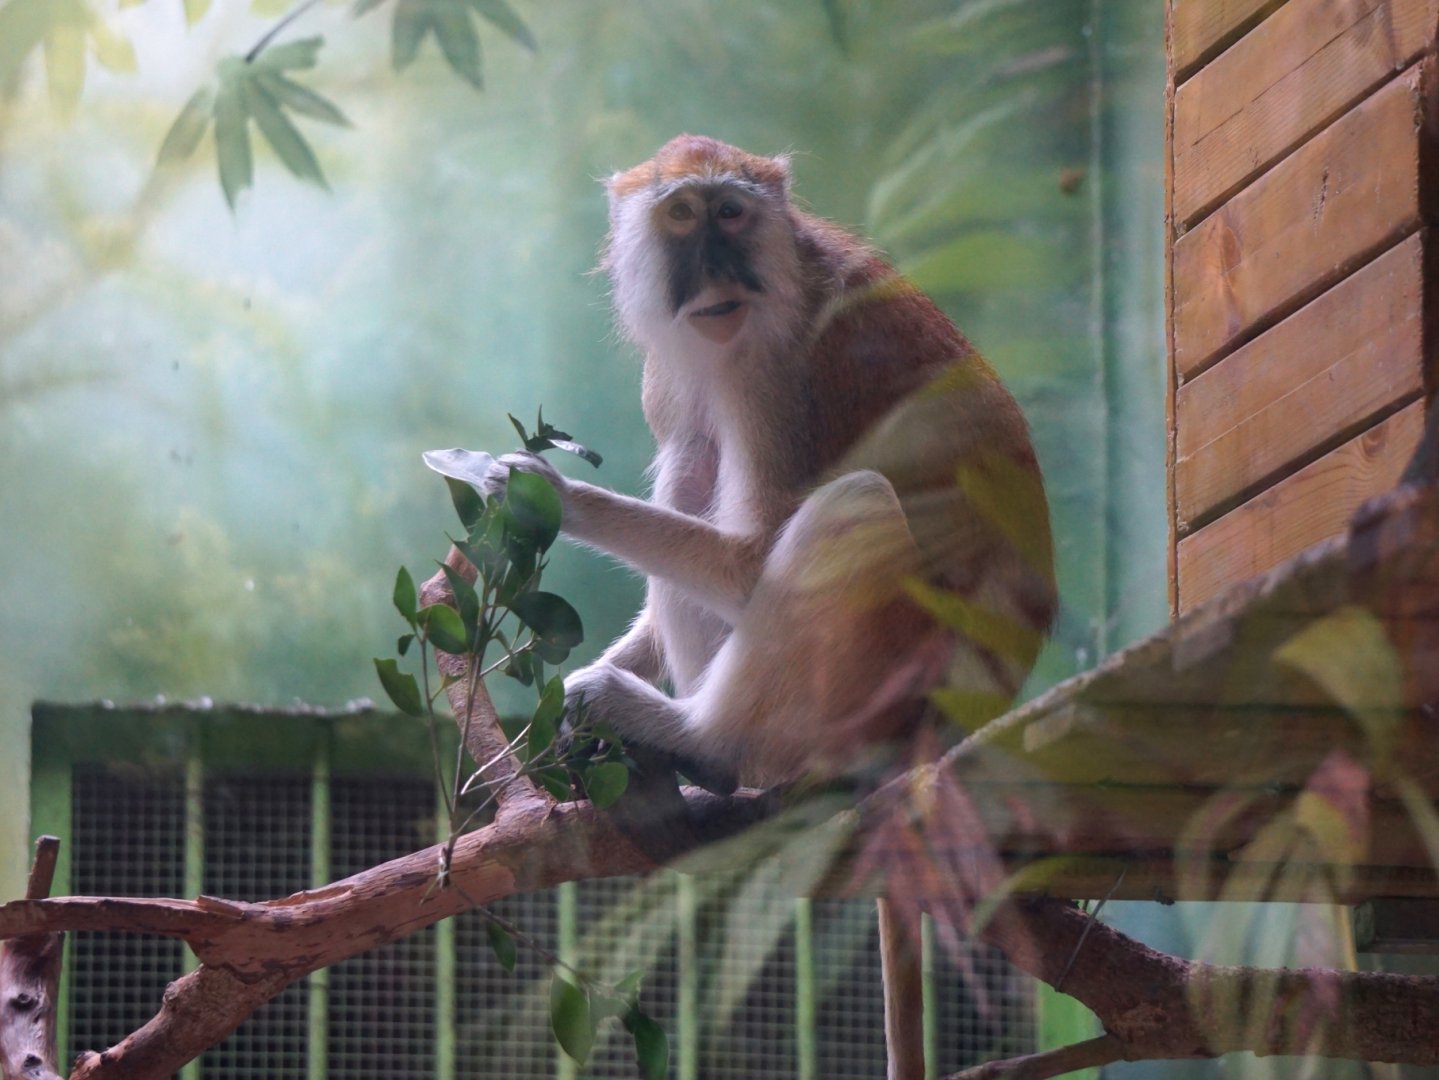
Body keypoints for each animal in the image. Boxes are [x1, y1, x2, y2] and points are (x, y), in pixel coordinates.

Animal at [442, 135, 1056, 1079]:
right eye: (682, 216)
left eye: (731, 213)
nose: (716, 271)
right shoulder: (672, 371)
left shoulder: (775, 367)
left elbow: (749, 558)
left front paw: (537, 492)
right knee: (696, 464)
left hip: (880, 686)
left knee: (851, 505)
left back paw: (707, 743)